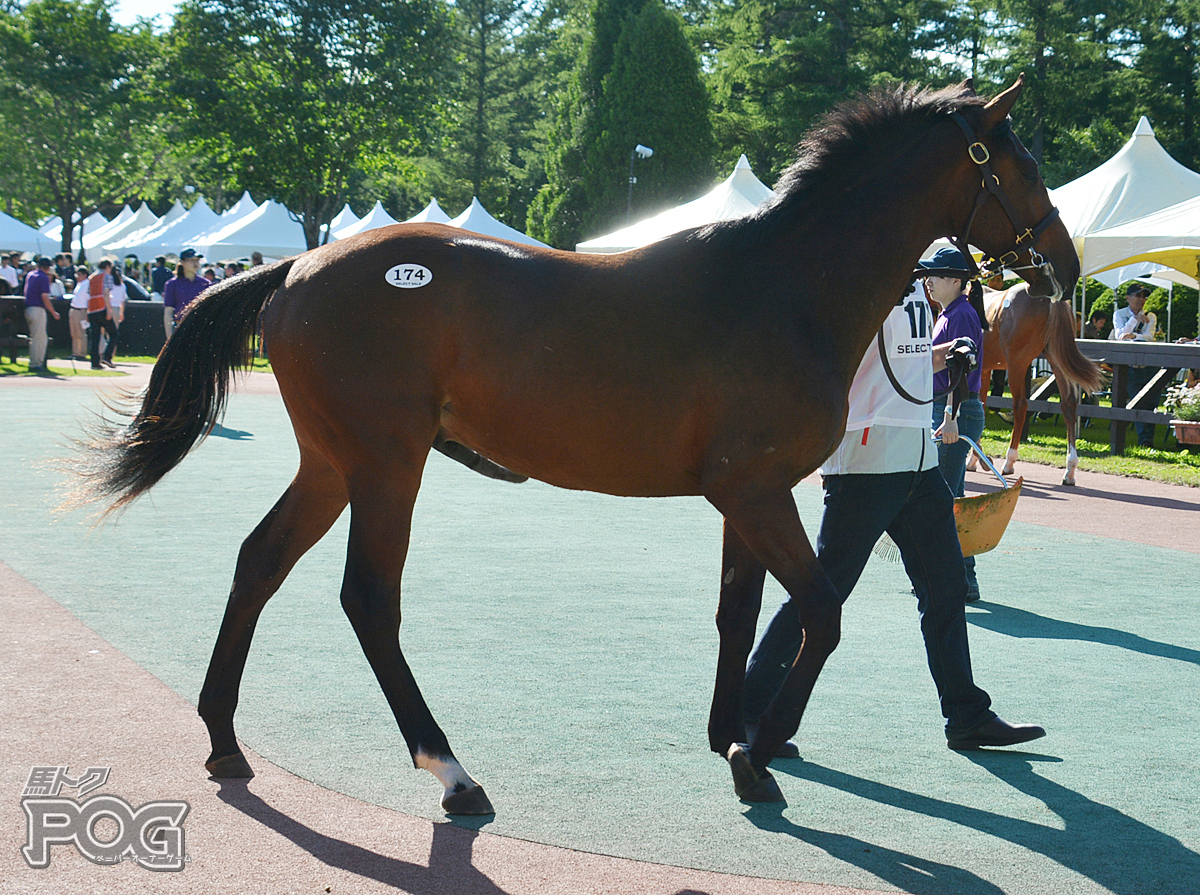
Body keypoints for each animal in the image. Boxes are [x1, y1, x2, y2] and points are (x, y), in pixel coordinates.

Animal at [77, 76, 1080, 811]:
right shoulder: (759, 492)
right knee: (368, 599)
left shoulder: (744, 497)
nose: (1066, 265)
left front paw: (729, 733)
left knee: (259, 561)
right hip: (386, 465)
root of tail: (296, 268)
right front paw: (758, 753)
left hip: (331, 464)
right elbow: (823, 612)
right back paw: (450, 769)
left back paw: (223, 739)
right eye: (1024, 164)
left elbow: (741, 613)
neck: (785, 287)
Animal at [974, 284, 1099, 482]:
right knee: (1069, 404)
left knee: (1020, 406)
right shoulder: (984, 370)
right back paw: (1070, 469)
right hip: (1056, 359)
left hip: (1017, 363)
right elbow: (980, 406)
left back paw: (1009, 462)